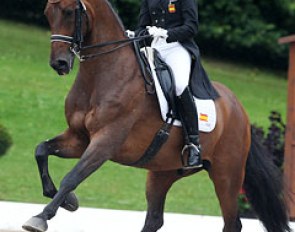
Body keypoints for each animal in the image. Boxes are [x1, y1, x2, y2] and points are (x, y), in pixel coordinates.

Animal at [22, 0, 292, 232]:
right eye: (48, 13)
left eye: (69, 12)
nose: (59, 64)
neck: (102, 75)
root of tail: (239, 109)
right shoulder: (79, 139)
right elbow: (40, 150)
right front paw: (68, 201)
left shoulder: (105, 142)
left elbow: (72, 177)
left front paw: (41, 217)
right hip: (163, 171)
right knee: (154, 219)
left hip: (227, 175)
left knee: (232, 222)